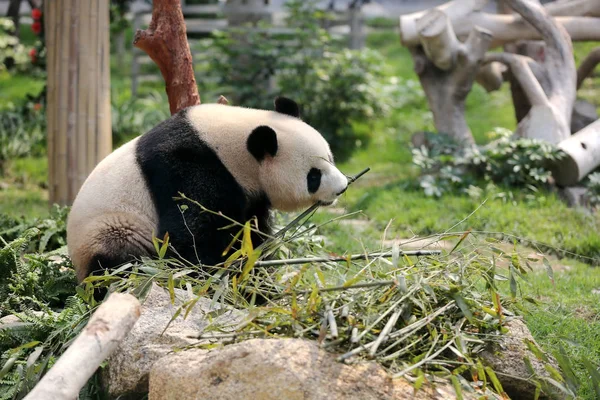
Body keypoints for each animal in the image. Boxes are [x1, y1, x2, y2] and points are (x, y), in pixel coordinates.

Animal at [66, 97, 350, 282]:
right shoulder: (190, 166)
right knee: (118, 263)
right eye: (314, 175)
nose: (342, 188)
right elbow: (192, 234)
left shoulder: (251, 195)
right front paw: (223, 279)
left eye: (330, 158)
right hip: (112, 229)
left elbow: (250, 233)